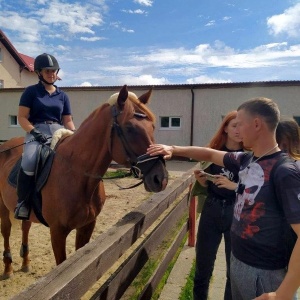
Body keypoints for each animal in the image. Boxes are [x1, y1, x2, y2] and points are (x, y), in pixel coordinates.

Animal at [0, 84, 169, 278]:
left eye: (153, 126)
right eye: (129, 128)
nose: (161, 179)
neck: (77, 174)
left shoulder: (87, 226)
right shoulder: (57, 232)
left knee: (25, 226)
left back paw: (26, 262)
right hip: (3, 206)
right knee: (6, 231)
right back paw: (8, 268)